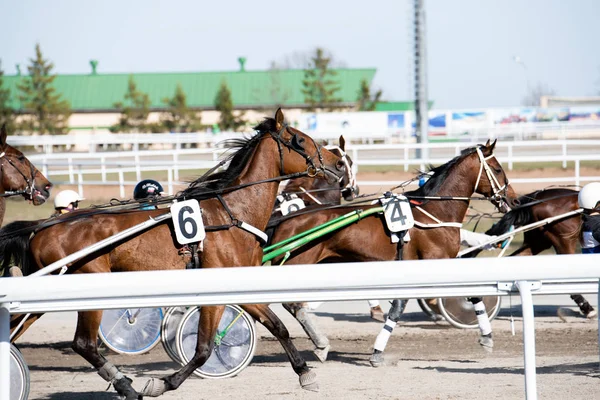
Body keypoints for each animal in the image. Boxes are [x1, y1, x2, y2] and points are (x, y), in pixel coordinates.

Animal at [1, 108, 346, 396]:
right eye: (300, 139)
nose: (338, 163)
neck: (232, 212)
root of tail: (43, 226)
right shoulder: (216, 287)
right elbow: (203, 349)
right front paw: (162, 383)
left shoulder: (240, 284)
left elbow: (278, 326)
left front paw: (305, 373)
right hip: (87, 284)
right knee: (83, 343)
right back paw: (125, 385)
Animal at [266, 139, 516, 364]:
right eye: (497, 169)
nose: (513, 199)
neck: (435, 211)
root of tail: (286, 219)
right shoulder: (437, 260)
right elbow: (469, 294)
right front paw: (487, 337)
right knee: (291, 304)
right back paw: (320, 344)